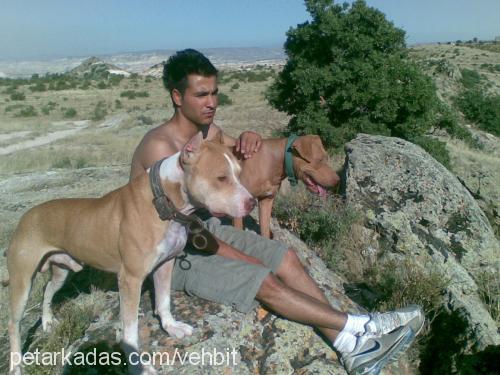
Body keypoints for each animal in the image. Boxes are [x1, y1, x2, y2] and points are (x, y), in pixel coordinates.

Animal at [7, 134, 256, 374]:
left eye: (239, 173)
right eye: (221, 178)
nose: (252, 202)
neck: (164, 202)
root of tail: (26, 216)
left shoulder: (165, 265)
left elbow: (164, 301)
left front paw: (171, 327)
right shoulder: (130, 279)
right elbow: (130, 329)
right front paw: (137, 364)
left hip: (61, 270)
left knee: (48, 291)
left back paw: (48, 322)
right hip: (22, 282)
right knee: (14, 323)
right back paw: (16, 365)